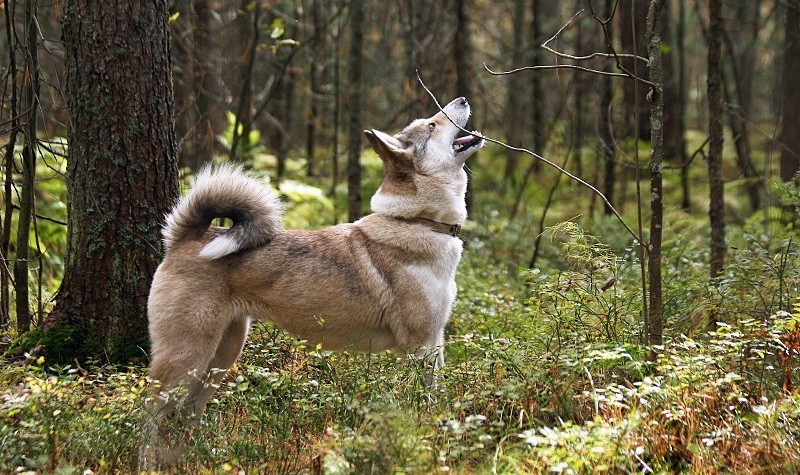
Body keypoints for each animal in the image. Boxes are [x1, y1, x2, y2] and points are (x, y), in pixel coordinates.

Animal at [141, 97, 484, 468]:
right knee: (147, 412)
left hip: (221, 356)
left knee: (189, 411)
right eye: (432, 125)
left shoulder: (436, 342)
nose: (462, 100)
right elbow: (421, 402)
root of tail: (187, 238)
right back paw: (145, 463)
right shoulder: (418, 346)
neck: (417, 221)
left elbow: (437, 395)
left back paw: (201, 456)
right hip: (187, 356)